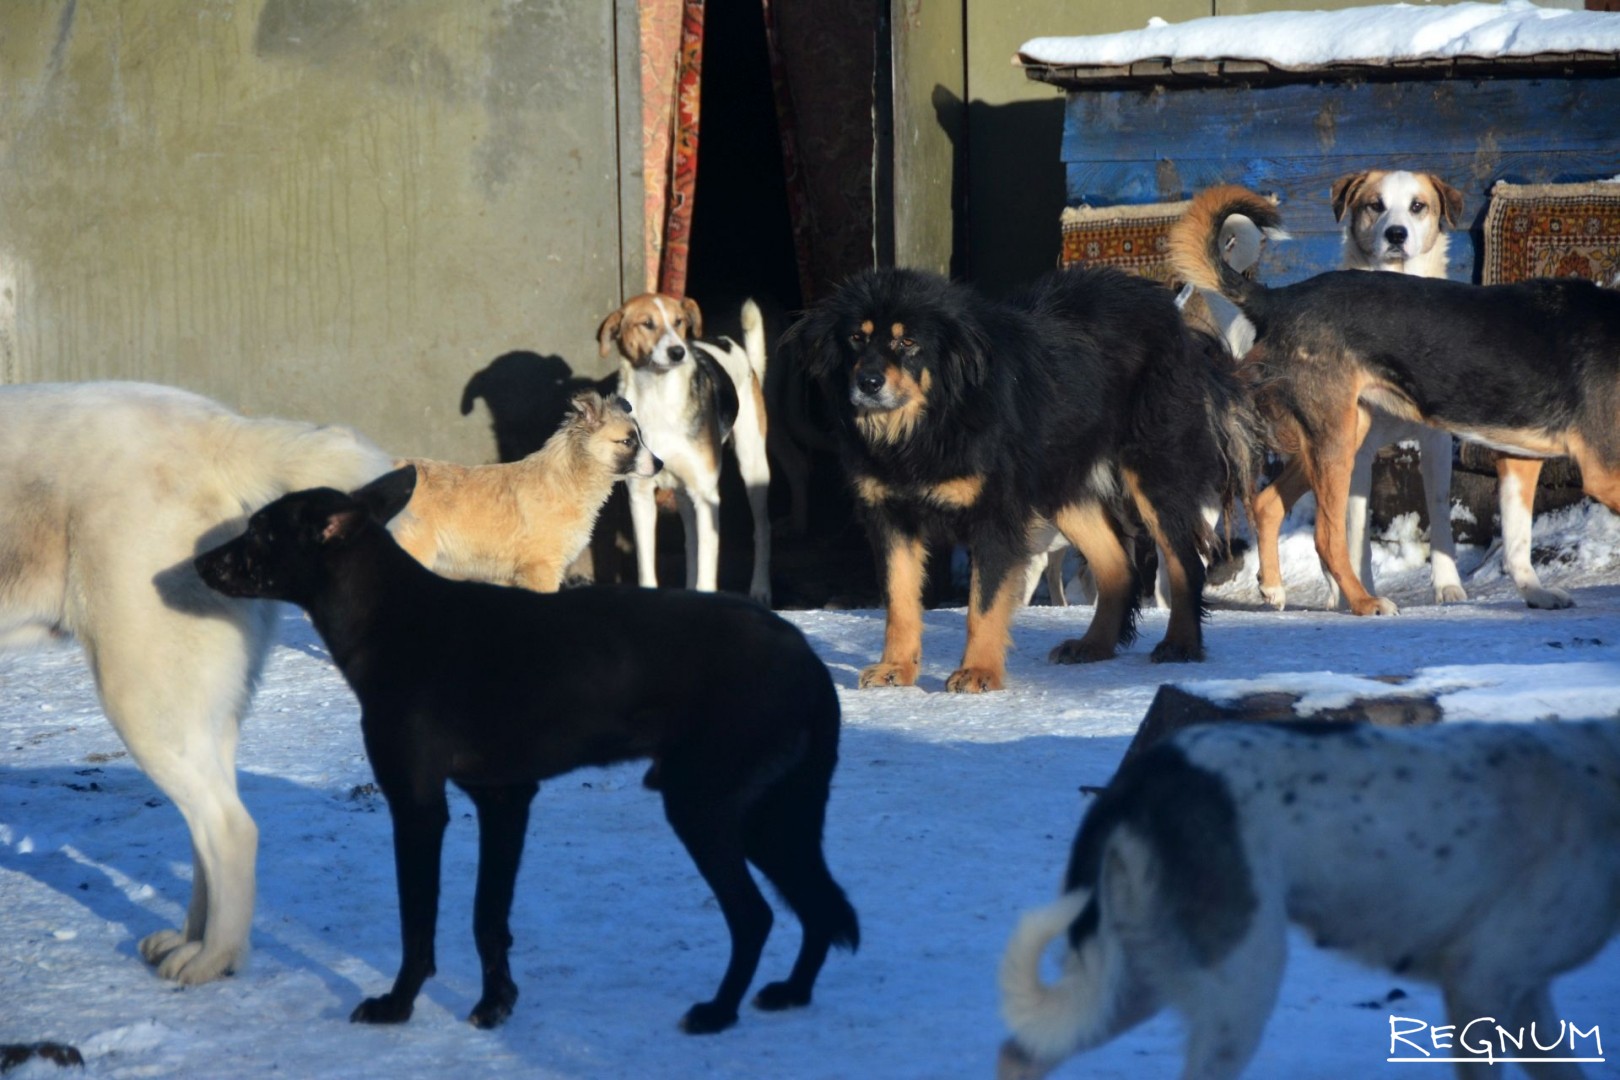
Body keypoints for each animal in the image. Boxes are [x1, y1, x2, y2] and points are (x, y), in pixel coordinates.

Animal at [192, 466, 861, 1036]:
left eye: (259, 530)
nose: (197, 561)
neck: (393, 618)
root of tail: (806, 658)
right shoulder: (504, 799)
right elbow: (489, 919)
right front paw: (495, 1003)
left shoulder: (418, 806)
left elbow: (419, 922)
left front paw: (399, 1004)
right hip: (772, 817)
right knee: (820, 905)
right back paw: (792, 993)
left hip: (704, 806)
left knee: (756, 916)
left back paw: (719, 1012)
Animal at [599, 291, 774, 605]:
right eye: (647, 324)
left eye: (679, 321)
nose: (678, 352)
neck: (658, 398)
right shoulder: (641, 498)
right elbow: (648, 566)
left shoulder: (706, 496)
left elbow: (706, 567)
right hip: (684, 493)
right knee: (691, 542)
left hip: (753, 465)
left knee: (762, 529)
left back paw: (760, 589)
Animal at [777, 270, 1257, 693]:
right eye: (856, 338)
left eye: (908, 342)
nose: (868, 382)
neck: (929, 423)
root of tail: (1177, 324)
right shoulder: (890, 517)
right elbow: (898, 600)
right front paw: (896, 668)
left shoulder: (995, 516)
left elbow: (983, 605)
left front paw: (978, 673)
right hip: (1065, 484)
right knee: (1118, 566)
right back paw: (1093, 646)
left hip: (1154, 473)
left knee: (1184, 562)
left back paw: (1181, 644)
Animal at [997, 718, 1620, 1080]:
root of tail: (1137, 780)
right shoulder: (1480, 985)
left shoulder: (1527, 1000)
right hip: (1239, 991)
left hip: (1135, 978)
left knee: (1020, 1054)